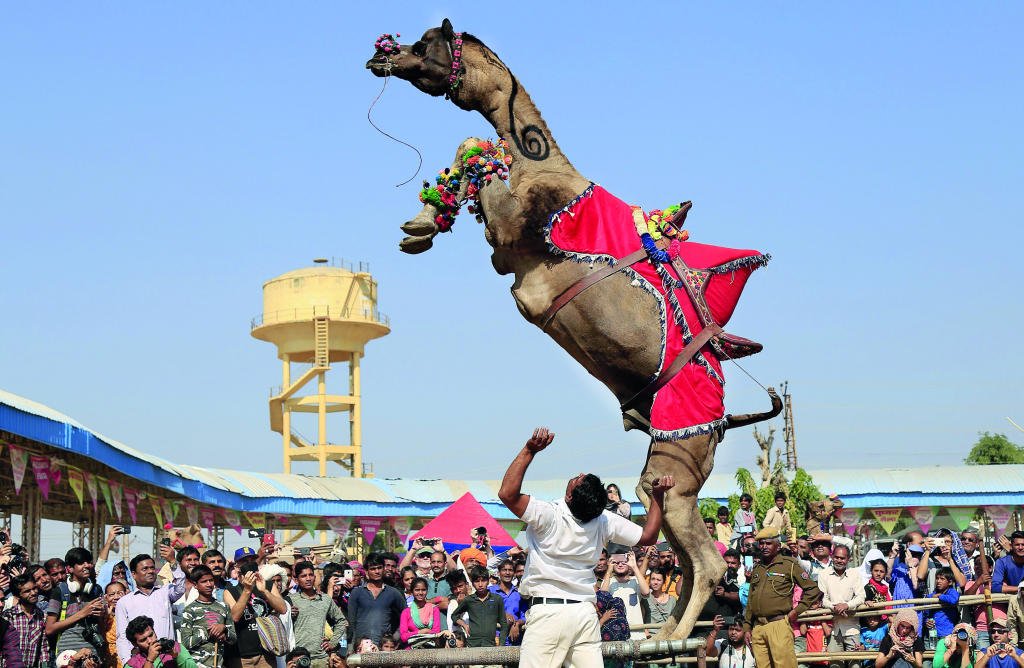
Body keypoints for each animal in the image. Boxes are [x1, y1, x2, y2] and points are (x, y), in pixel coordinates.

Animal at [372, 18, 778, 639]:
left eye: (425, 46)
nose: (380, 57)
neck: (542, 164)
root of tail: (728, 416)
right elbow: (477, 152)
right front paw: (420, 223)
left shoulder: (514, 237)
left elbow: (476, 153)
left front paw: (420, 224)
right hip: (673, 467)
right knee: (683, 555)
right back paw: (662, 633)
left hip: (678, 458)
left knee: (706, 560)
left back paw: (670, 635)